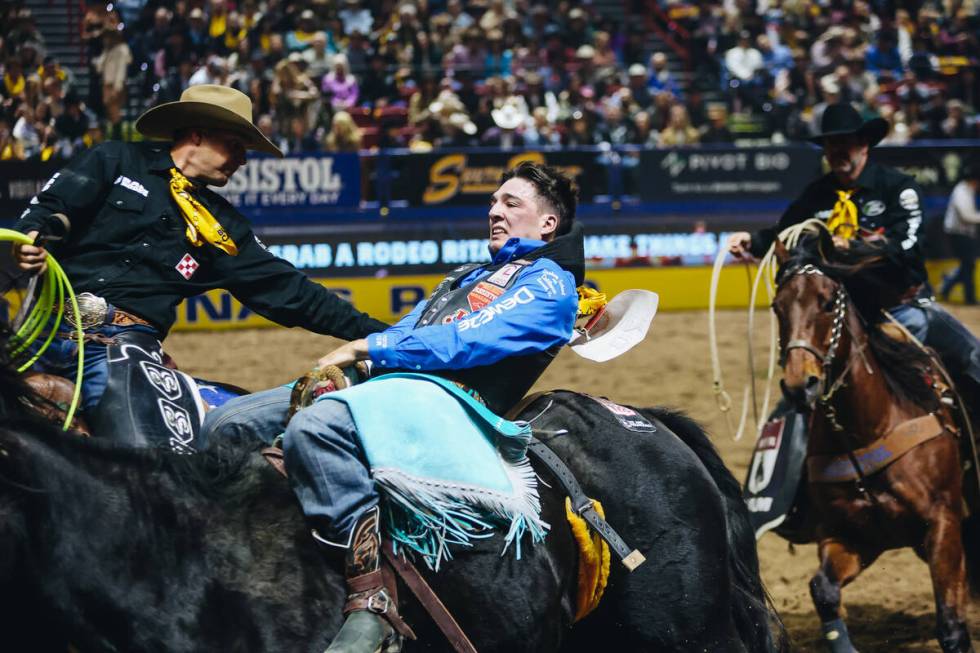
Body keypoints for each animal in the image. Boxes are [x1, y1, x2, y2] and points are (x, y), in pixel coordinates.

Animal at [772, 237, 972, 652]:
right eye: (777, 306)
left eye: (827, 302)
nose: (800, 385)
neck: (866, 430)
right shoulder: (851, 536)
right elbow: (823, 590)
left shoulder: (943, 522)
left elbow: (951, 626)